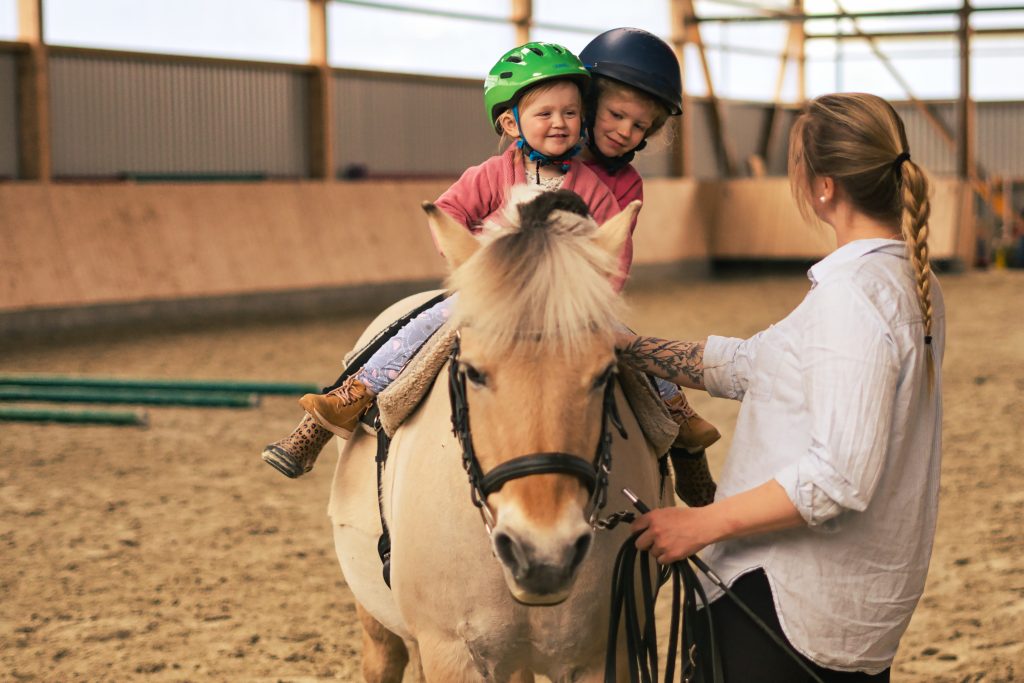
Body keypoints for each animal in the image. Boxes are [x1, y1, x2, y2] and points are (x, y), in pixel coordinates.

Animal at [327, 188, 671, 683]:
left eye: (605, 374)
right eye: (472, 372)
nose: (543, 554)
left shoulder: (605, 655)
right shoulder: (452, 653)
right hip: (375, 614)